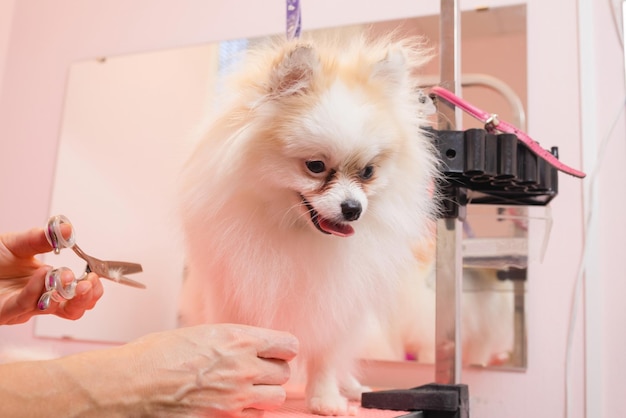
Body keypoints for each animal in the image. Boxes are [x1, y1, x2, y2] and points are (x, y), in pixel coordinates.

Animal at [176, 31, 438, 414]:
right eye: (315, 166)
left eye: (368, 172)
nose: (353, 208)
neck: (298, 232)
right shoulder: (234, 293)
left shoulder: (337, 305)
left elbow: (327, 358)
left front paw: (325, 400)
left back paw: (351, 388)